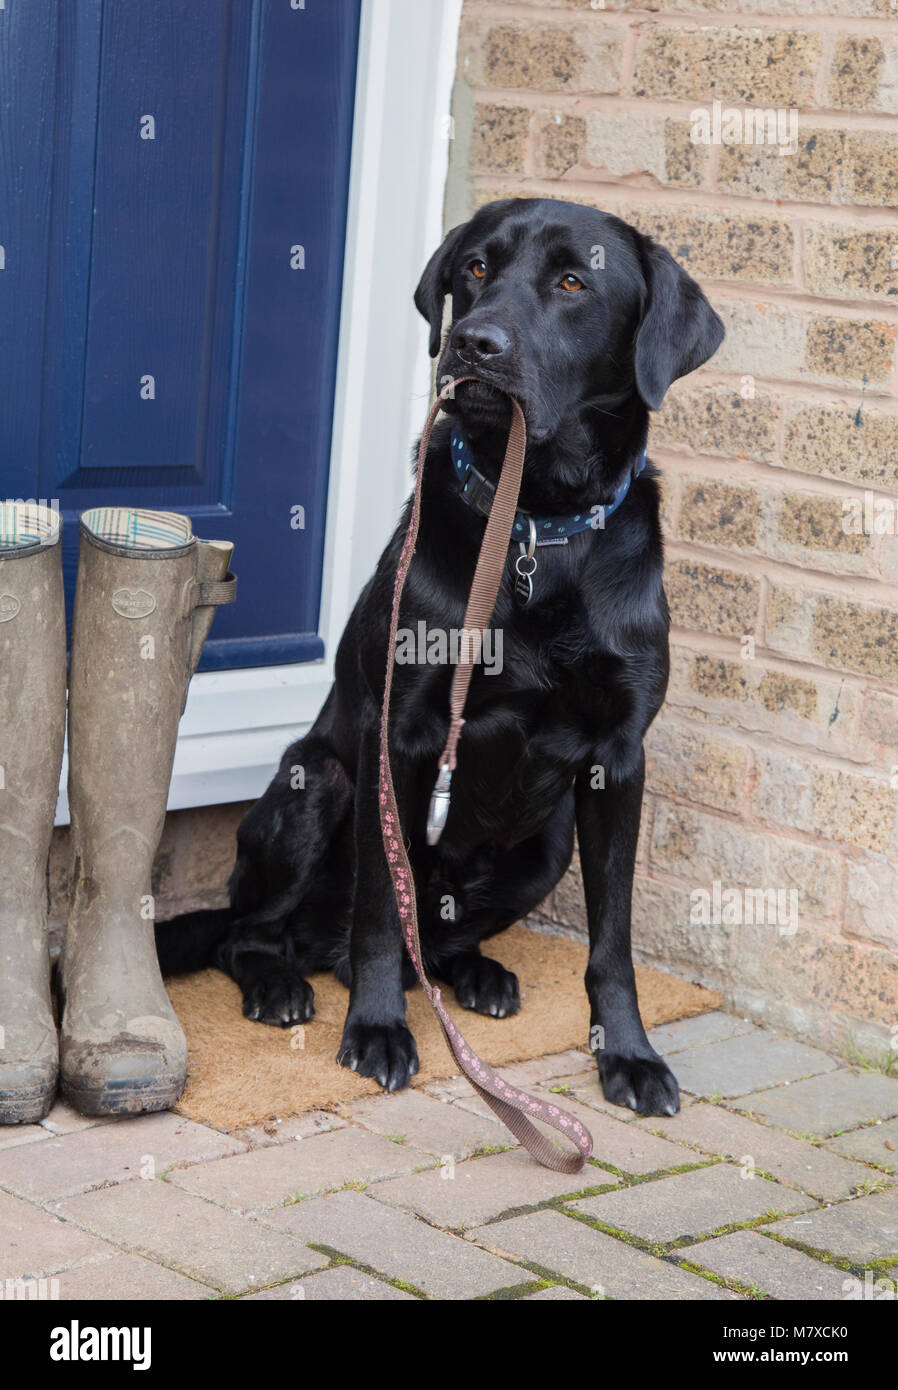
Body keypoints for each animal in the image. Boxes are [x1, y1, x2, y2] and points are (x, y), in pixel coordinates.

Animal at [158, 198, 722, 1117]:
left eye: (575, 282)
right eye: (477, 270)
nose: (473, 342)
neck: (536, 523)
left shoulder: (619, 759)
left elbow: (614, 938)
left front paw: (629, 1054)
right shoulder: (400, 737)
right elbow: (382, 911)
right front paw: (377, 1030)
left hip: (548, 844)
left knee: (441, 935)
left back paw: (477, 973)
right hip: (319, 781)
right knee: (253, 933)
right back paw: (281, 984)